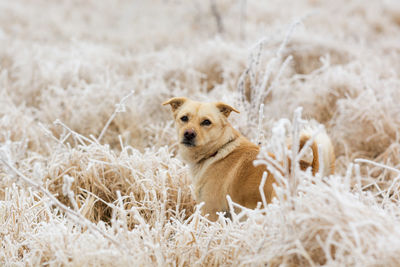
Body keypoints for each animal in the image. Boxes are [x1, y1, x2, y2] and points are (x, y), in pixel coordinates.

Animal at [162, 97, 334, 221]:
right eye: (184, 118)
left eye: (206, 122)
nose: (188, 134)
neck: (217, 150)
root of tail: (313, 171)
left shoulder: (210, 211)